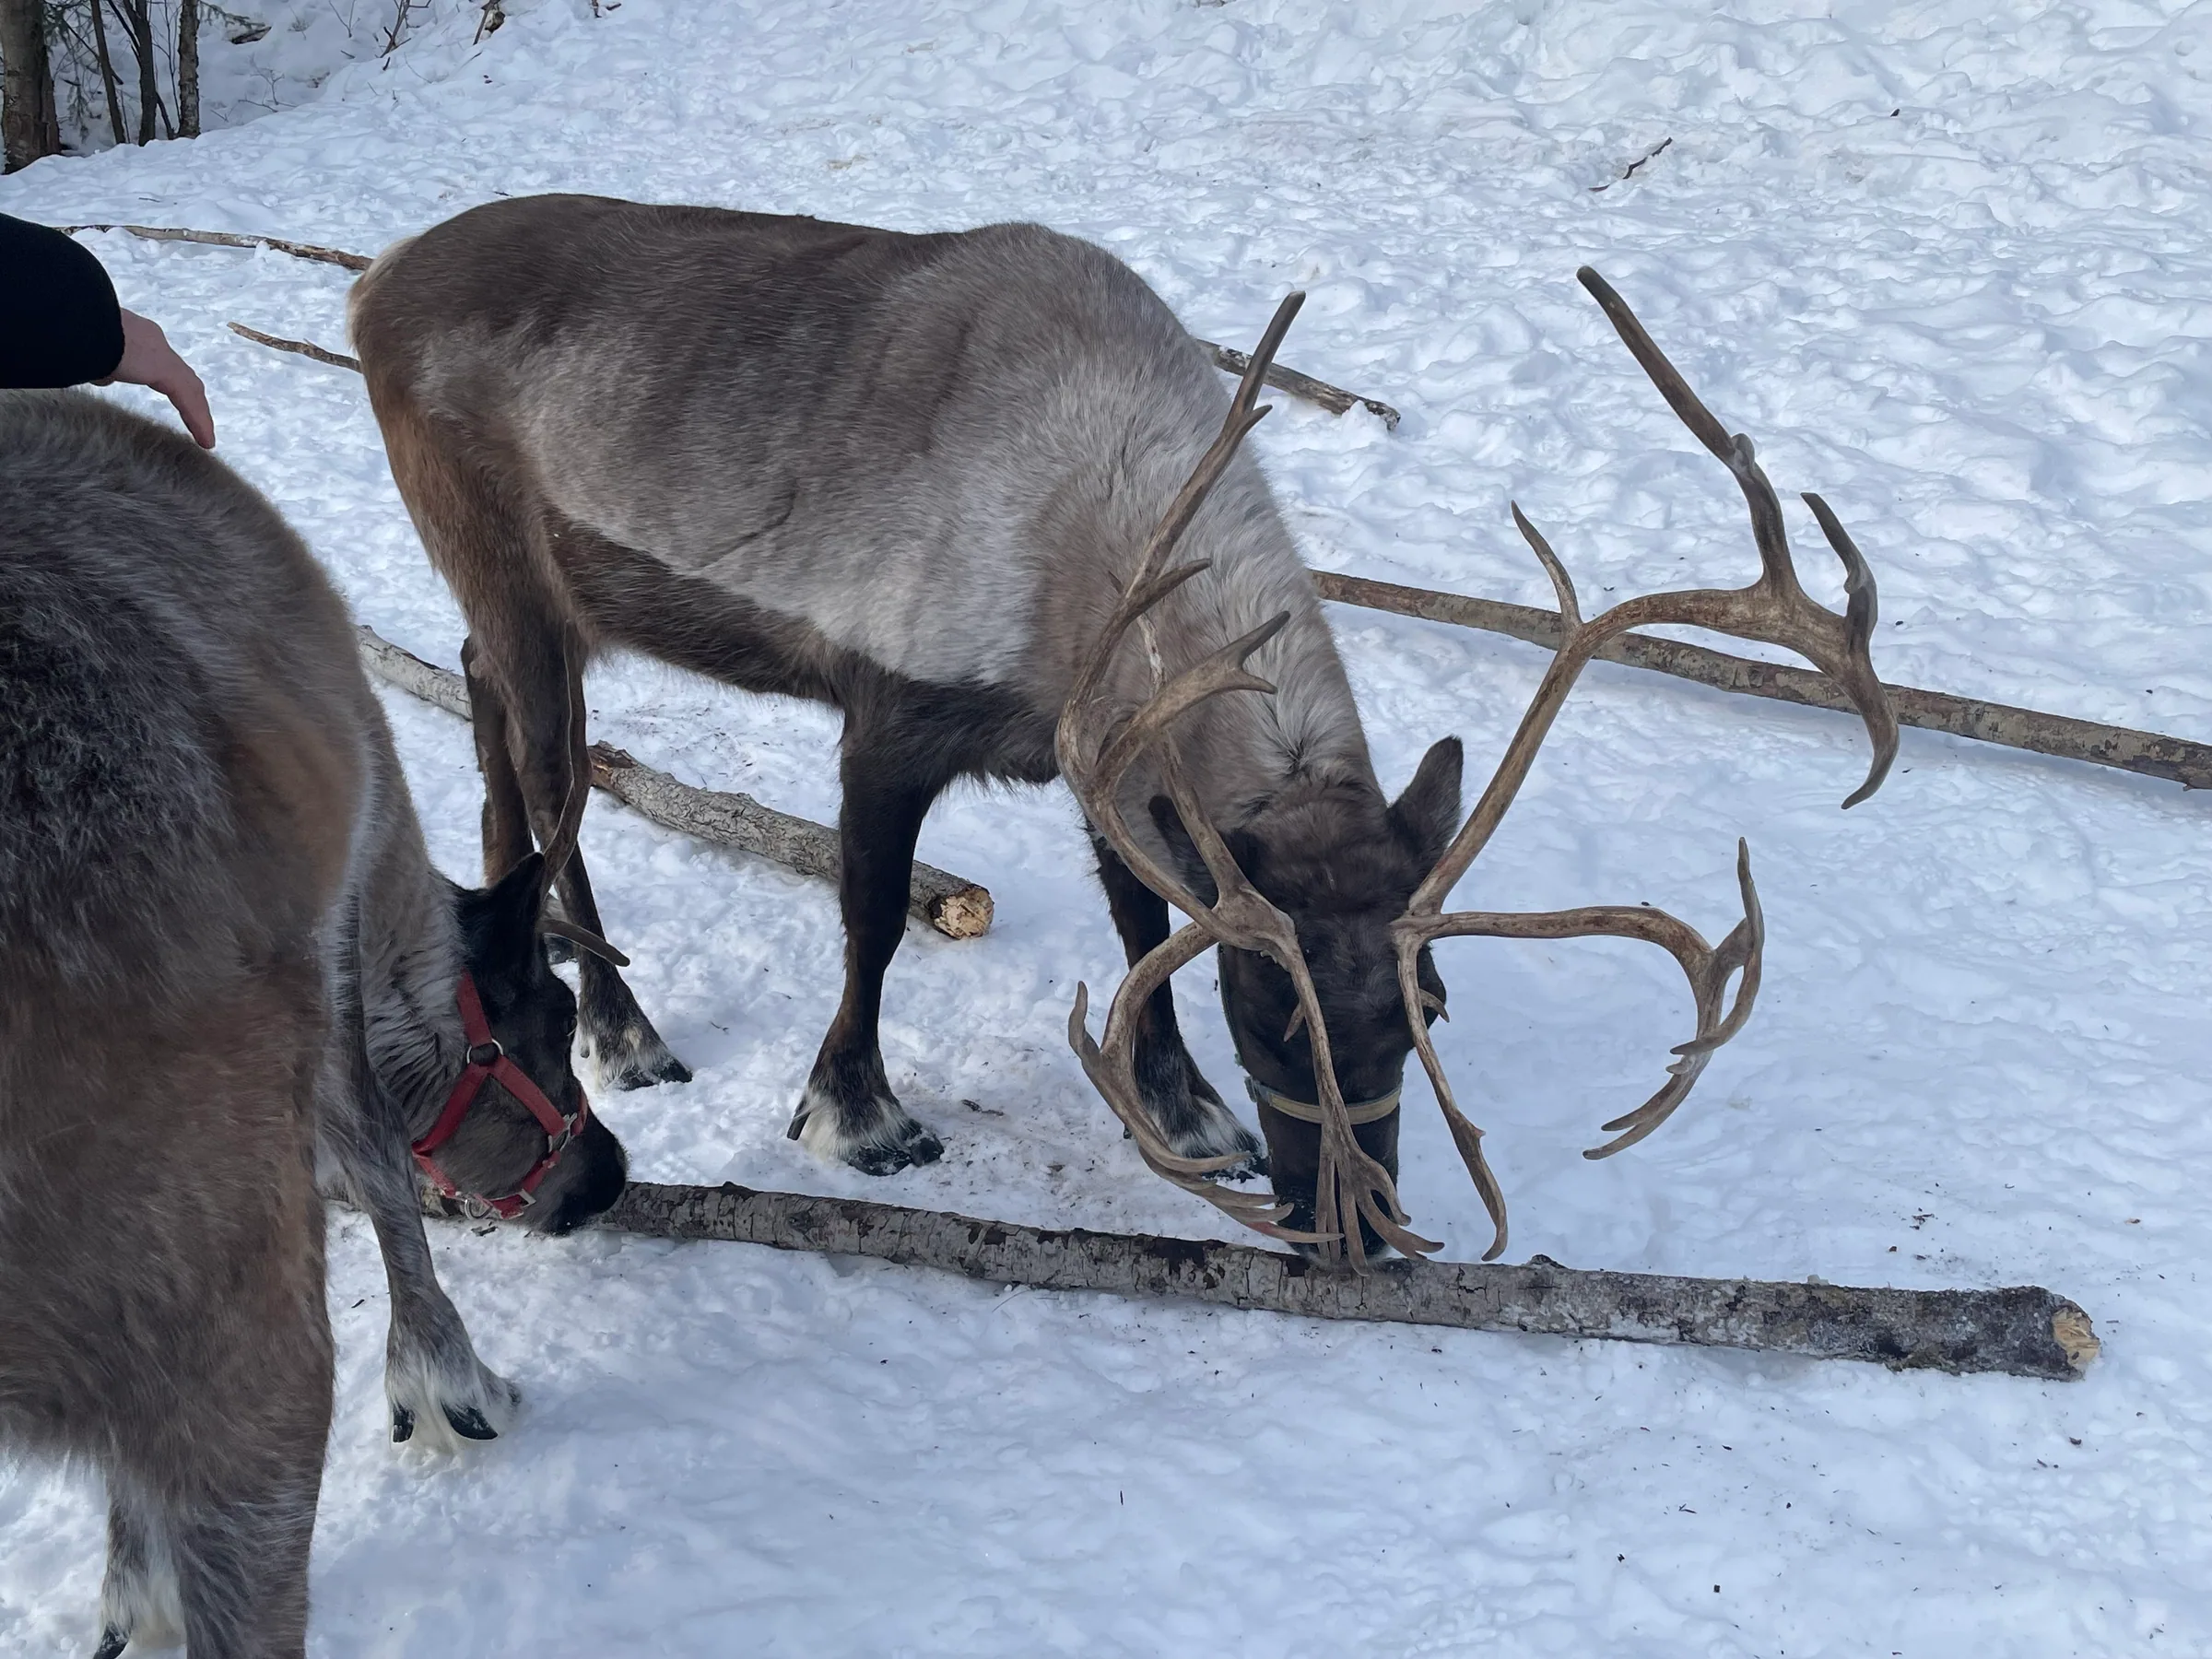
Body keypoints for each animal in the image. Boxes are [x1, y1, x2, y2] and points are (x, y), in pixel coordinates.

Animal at [347, 194, 1893, 1267]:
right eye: (1268, 1008)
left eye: (1430, 1007)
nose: (1361, 1239)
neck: (1101, 512)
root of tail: (373, 282)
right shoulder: (890, 714)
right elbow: (874, 919)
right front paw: (858, 1114)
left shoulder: (1102, 747)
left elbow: (1143, 917)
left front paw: (1183, 1106)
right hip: (513, 568)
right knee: (550, 773)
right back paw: (623, 1027)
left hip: (529, 607)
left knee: (489, 723)